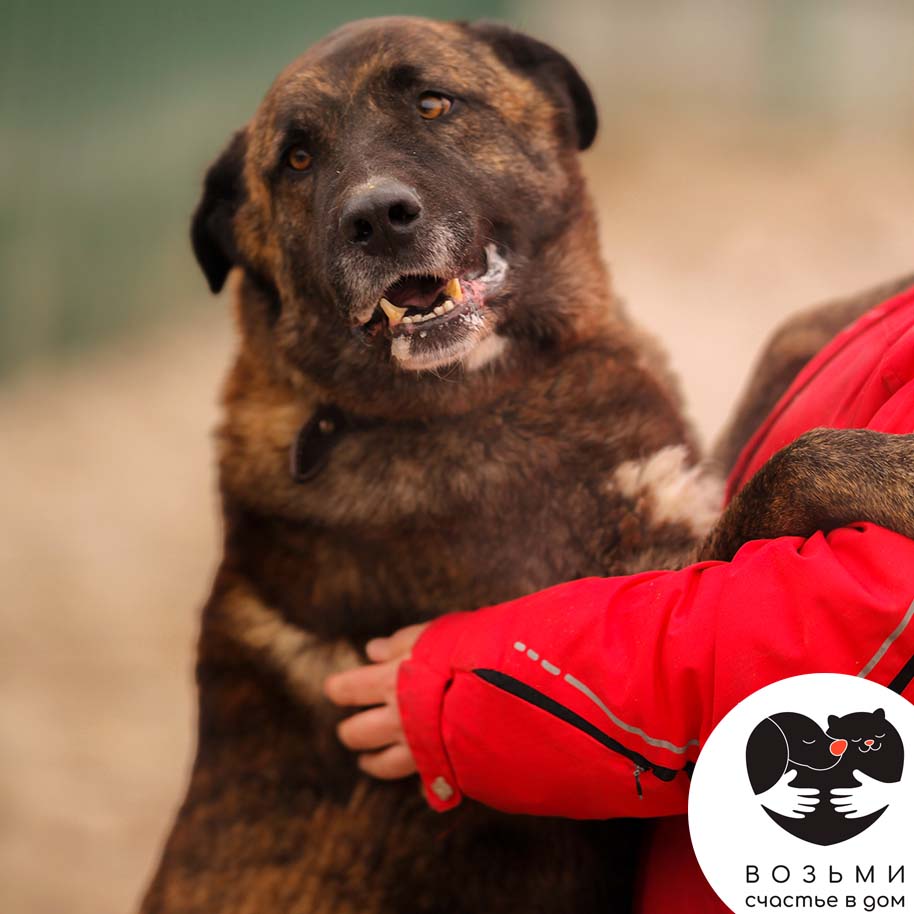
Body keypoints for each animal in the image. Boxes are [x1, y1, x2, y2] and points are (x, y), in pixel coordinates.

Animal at [139, 14, 912, 912]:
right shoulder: (652, 575)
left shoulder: (696, 482)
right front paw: (901, 473)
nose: (378, 220)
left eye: (433, 102)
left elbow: (795, 333)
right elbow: (790, 465)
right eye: (295, 159)